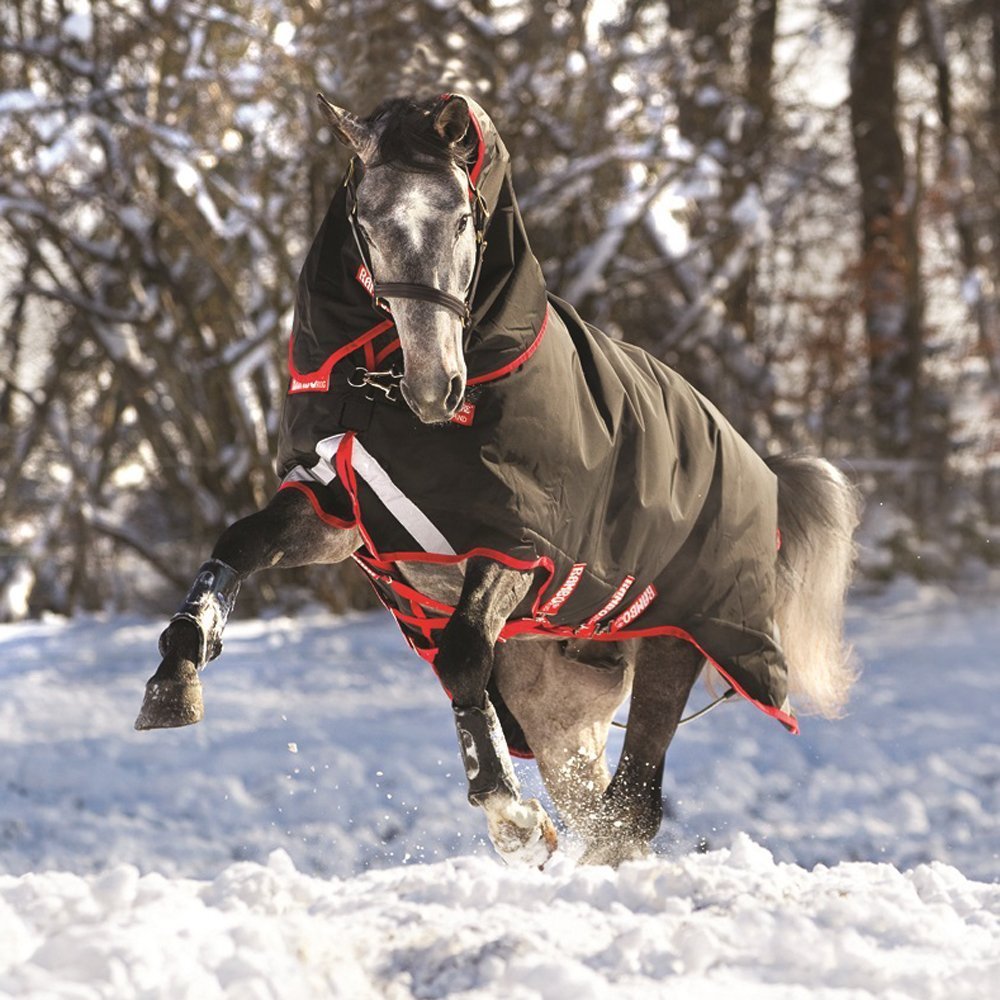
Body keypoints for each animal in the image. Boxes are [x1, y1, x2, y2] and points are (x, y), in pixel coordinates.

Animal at [137, 94, 864, 868]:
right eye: (366, 219)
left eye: (461, 217)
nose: (436, 387)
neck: (384, 397)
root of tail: (764, 473)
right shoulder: (339, 512)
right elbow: (240, 543)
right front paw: (175, 677)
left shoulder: (518, 545)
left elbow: (462, 653)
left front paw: (511, 817)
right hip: (558, 710)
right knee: (605, 810)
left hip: (674, 643)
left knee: (631, 810)